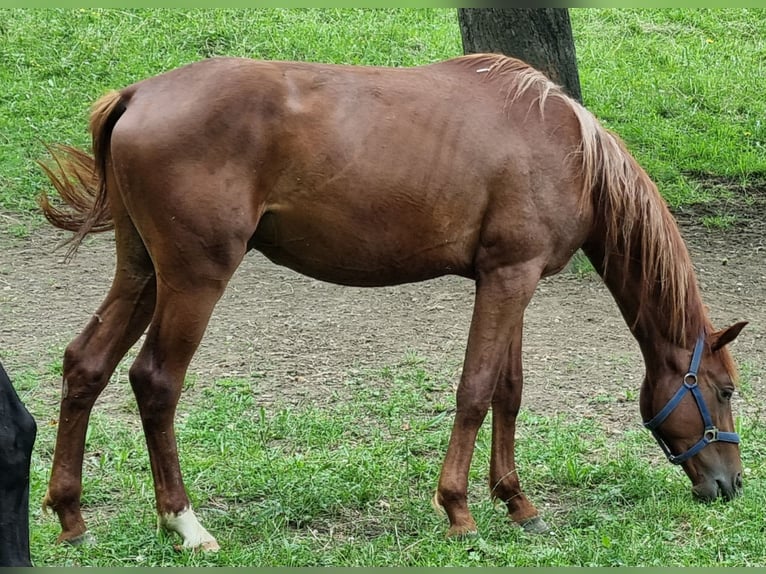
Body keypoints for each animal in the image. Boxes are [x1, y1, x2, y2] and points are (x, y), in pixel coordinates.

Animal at [39, 55, 748, 552]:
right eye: (725, 391)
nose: (731, 485)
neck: (565, 146)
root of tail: (138, 95)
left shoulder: (515, 280)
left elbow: (509, 392)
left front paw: (517, 503)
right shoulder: (507, 280)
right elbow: (475, 390)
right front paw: (459, 509)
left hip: (142, 275)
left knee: (86, 366)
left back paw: (72, 515)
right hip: (192, 280)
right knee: (155, 382)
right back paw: (184, 524)